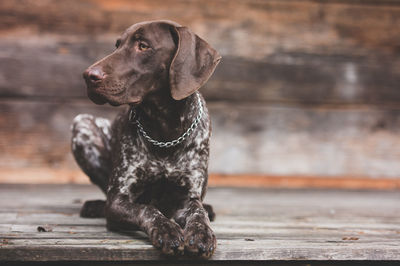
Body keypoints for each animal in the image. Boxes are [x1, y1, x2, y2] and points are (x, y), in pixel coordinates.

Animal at [72, 20, 222, 258]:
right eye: (117, 45)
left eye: (143, 46)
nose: (88, 75)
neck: (165, 130)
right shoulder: (118, 200)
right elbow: (147, 209)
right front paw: (167, 229)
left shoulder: (186, 198)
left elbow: (198, 214)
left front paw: (202, 233)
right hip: (82, 123)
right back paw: (94, 206)